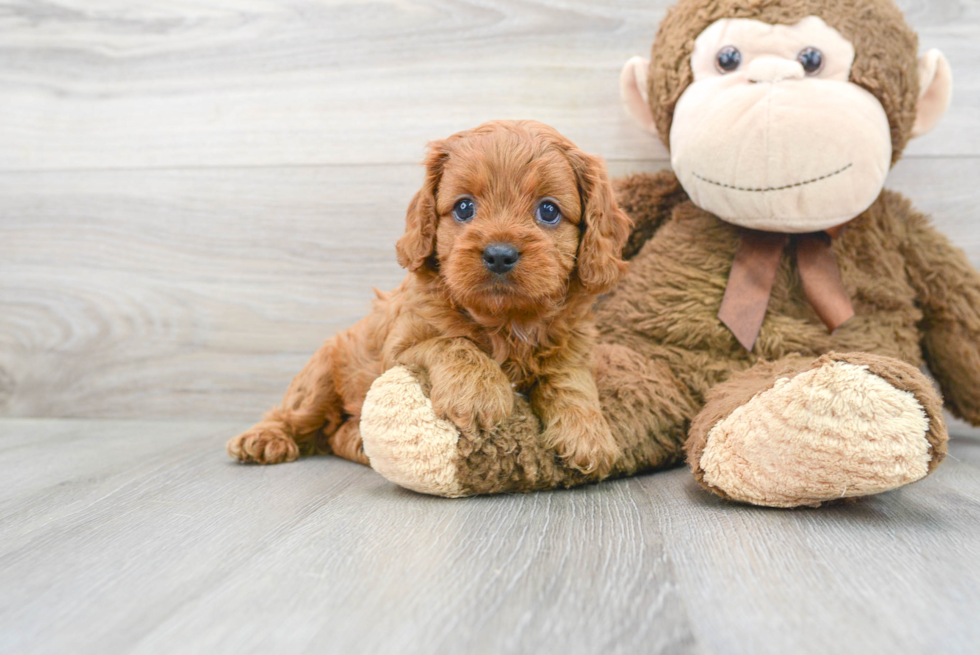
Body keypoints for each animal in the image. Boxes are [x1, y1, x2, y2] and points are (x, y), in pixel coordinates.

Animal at [226, 119, 632, 476]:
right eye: (464, 207)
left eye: (548, 210)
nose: (499, 254)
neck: (506, 320)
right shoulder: (398, 349)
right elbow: (453, 342)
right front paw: (480, 392)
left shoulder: (570, 347)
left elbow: (571, 380)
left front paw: (588, 435)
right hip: (321, 374)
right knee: (293, 414)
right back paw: (263, 438)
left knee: (335, 433)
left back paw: (357, 443)